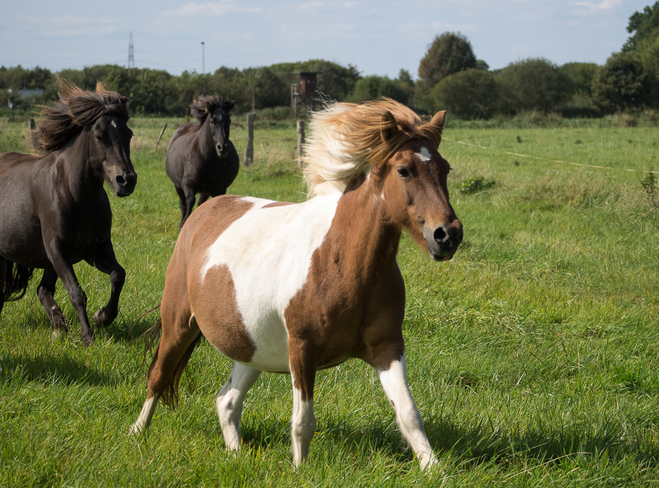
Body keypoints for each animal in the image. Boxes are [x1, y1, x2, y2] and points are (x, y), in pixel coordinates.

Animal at [0, 81, 137, 346]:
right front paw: (87, 337)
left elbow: (118, 275)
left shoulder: (95, 249)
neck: (76, 195)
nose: (126, 181)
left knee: (43, 290)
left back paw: (59, 327)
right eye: (99, 136)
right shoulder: (58, 249)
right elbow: (76, 292)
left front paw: (102, 316)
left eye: (129, 134)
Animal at [165, 94, 240, 228]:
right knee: (183, 203)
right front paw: (184, 225)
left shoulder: (219, 189)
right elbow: (189, 204)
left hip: (205, 191)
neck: (208, 159)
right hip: (178, 186)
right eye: (212, 121)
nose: (223, 148)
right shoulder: (188, 186)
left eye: (229, 121)